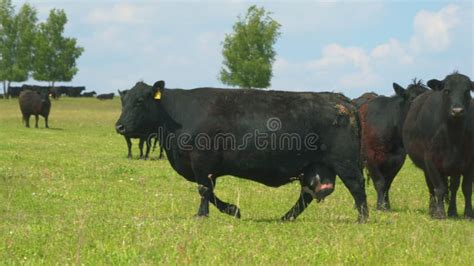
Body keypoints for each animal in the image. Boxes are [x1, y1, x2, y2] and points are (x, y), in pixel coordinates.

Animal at [114, 81, 366, 222]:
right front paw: (227, 210)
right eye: (123, 101)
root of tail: (340, 99)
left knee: (357, 185)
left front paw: (211, 213)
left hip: (345, 161)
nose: (119, 127)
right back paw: (286, 217)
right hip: (314, 166)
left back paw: (362, 218)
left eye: (139, 101)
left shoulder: (201, 161)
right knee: (308, 194)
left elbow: (204, 190)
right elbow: (208, 191)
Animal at [360, 80, 430, 211]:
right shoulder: (370, 157)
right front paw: (380, 206)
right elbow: (380, 182)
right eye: (412, 98)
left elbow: (387, 183)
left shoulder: (398, 159)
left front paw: (387, 206)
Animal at [404, 71, 474, 219]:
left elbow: (466, 188)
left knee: (453, 187)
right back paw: (433, 210)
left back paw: (452, 211)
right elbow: (440, 188)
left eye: (467, 91)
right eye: (447, 90)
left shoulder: (470, 161)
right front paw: (440, 213)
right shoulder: (430, 160)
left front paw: (468, 213)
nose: (457, 111)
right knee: (432, 188)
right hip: (427, 167)